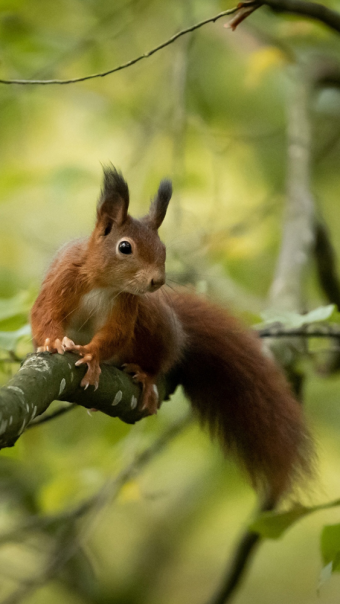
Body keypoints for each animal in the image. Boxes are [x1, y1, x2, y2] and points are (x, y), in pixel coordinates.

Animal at [30, 164, 312, 496]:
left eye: (163, 248)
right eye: (124, 247)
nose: (158, 281)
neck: (104, 283)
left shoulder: (128, 305)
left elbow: (116, 334)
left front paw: (92, 355)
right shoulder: (62, 280)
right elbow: (43, 314)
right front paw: (52, 341)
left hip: (154, 323)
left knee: (159, 358)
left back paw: (146, 375)